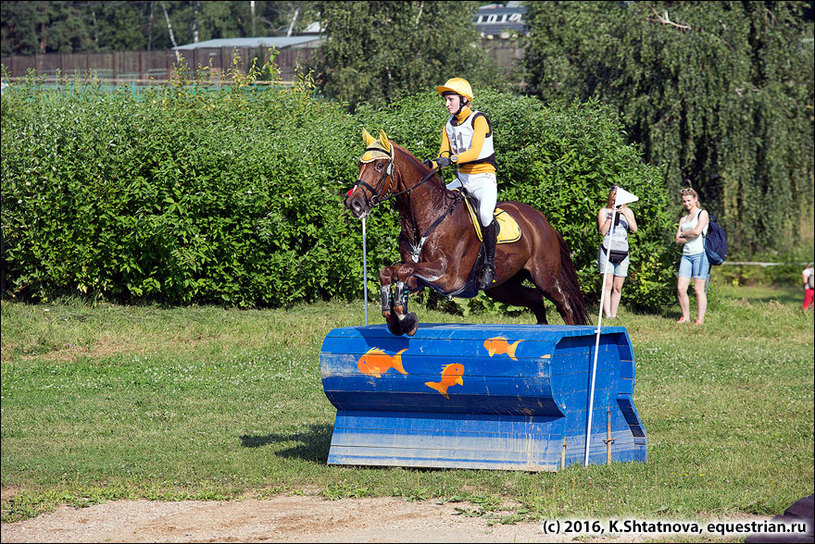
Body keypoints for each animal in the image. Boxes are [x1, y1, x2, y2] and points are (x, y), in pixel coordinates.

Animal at [342, 132, 588, 336]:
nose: (354, 204)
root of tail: (542, 221)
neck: (428, 213)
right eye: (360, 164)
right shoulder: (419, 276)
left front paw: (402, 316)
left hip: (545, 277)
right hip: (503, 287)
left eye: (379, 166)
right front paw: (398, 318)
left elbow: (402, 271)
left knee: (565, 304)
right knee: (535, 299)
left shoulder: (449, 277)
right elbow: (391, 272)